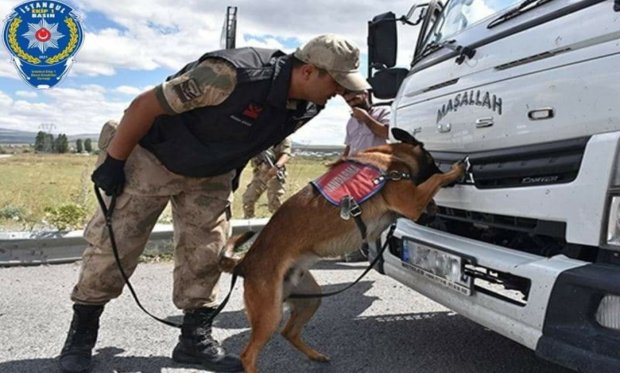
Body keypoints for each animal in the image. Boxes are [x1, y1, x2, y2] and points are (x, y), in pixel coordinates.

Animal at [218, 126, 464, 370]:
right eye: (432, 158)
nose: (452, 178)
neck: (390, 156)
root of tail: (244, 263)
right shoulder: (410, 201)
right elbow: (434, 180)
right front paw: (455, 170)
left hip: (311, 299)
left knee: (289, 332)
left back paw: (316, 355)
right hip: (270, 314)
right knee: (248, 354)